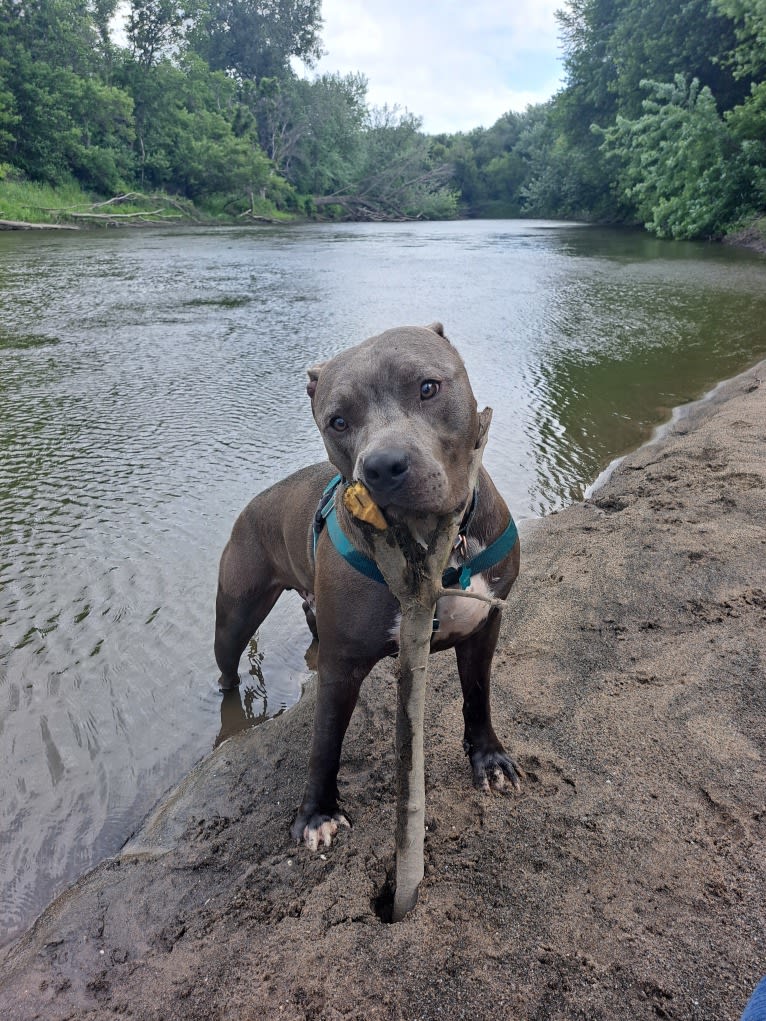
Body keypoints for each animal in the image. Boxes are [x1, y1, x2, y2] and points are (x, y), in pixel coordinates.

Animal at [216, 322, 522, 849]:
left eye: (427, 387)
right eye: (337, 421)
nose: (382, 465)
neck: (431, 550)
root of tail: (251, 505)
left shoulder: (485, 624)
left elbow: (478, 694)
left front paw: (489, 758)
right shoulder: (341, 666)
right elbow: (324, 742)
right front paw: (317, 813)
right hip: (234, 616)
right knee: (228, 668)